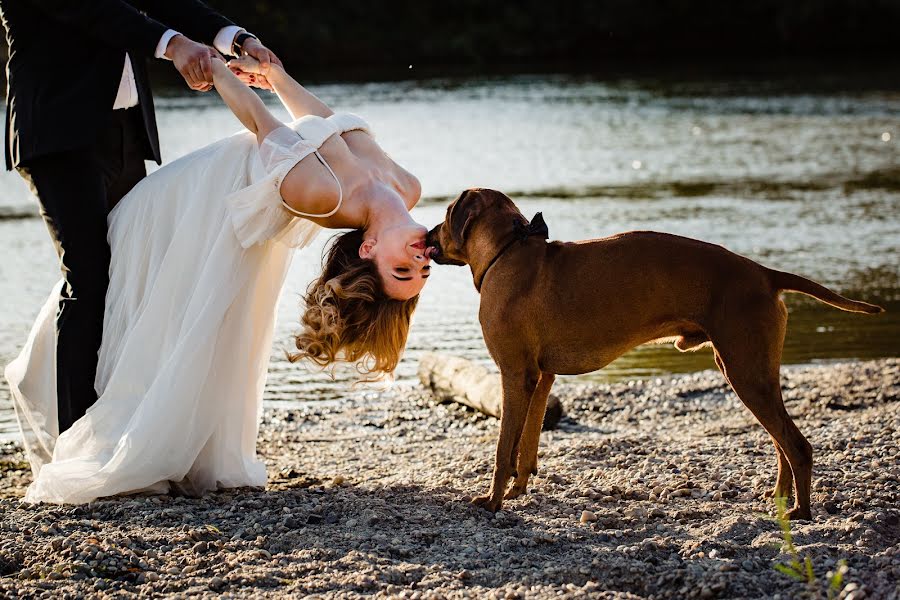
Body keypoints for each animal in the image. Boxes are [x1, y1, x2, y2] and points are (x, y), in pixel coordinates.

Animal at [426, 189, 884, 520]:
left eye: (447, 214)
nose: (426, 237)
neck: (510, 251)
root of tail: (764, 273)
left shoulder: (514, 375)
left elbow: (504, 447)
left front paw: (493, 500)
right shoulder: (541, 378)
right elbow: (527, 445)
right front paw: (519, 490)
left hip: (745, 372)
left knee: (797, 445)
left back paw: (801, 513)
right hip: (754, 374)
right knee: (781, 443)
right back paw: (780, 499)